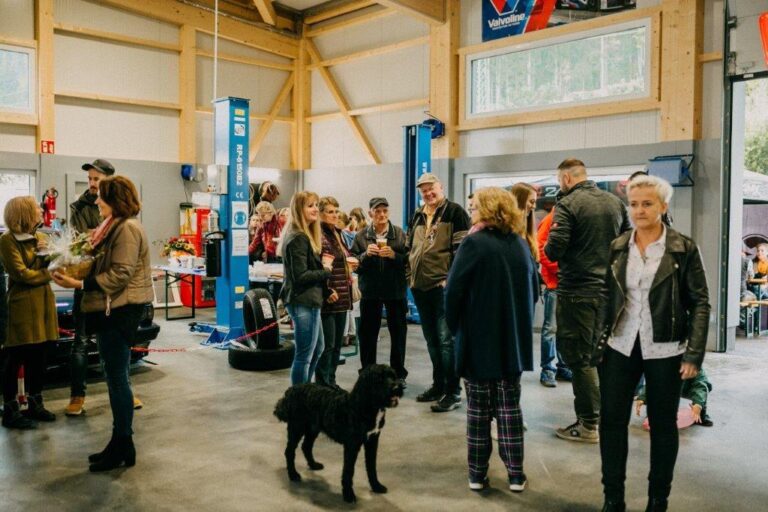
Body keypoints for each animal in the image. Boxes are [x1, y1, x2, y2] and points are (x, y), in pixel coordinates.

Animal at [274, 364, 404, 504]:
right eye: (379, 379)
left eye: (393, 376)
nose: (398, 387)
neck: (362, 406)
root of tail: (291, 390)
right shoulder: (352, 445)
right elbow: (348, 470)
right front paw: (348, 495)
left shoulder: (373, 440)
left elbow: (371, 466)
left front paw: (376, 486)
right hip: (296, 428)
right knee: (289, 451)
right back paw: (293, 474)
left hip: (313, 428)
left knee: (306, 446)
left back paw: (313, 465)